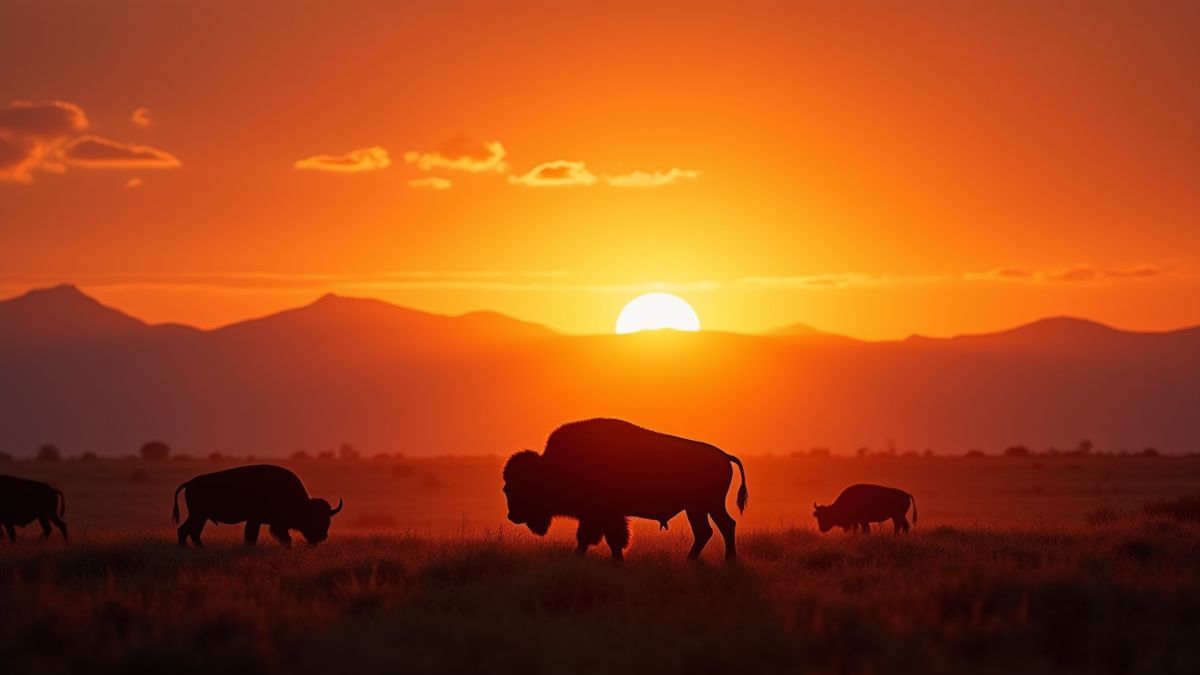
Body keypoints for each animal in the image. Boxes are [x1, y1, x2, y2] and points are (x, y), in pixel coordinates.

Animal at [172, 464, 342, 547]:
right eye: (313, 518)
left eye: (328, 519)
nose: (322, 536)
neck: (300, 503)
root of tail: (191, 482)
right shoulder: (264, 522)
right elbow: (259, 537)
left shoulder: (258, 521)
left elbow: (252, 537)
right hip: (198, 515)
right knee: (185, 530)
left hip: (201, 516)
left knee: (191, 532)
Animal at [503, 418, 749, 561]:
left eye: (519, 487)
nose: (512, 515)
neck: (552, 468)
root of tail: (724, 455)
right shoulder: (597, 516)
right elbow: (596, 538)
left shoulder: (602, 515)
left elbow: (603, 538)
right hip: (700, 507)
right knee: (713, 529)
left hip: (704, 506)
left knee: (718, 528)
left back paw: (719, 561)